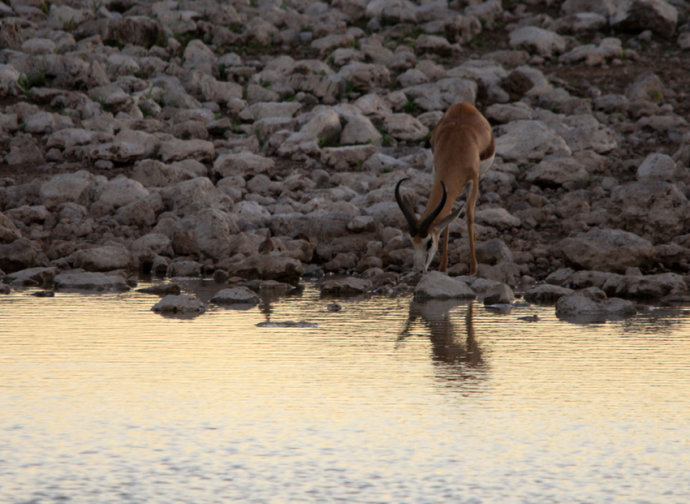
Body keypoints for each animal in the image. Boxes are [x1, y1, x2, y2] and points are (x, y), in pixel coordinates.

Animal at [392, 102, 494, 274]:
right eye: (412, 242)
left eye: (429, 242)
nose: (418, 270)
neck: (456, 146)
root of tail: (463, 104)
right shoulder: (437, 172)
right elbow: (446, 220)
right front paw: (443, 266)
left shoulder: (473, 180)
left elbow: (469, 216)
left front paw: (473, 268)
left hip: (480, 177)